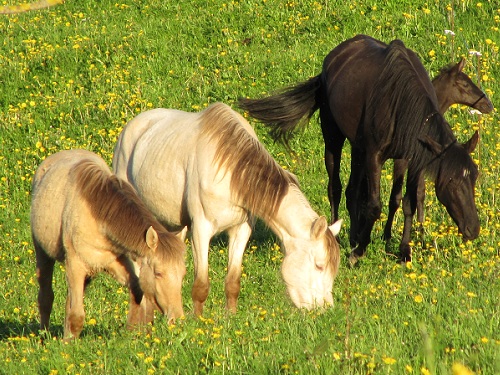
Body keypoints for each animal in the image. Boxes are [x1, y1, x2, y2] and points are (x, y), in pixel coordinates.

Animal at [30, 150, 186, 340]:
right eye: (158, 273)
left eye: (183, 273)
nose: (177, 318)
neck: (97, 212)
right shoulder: (75, 265)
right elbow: (76, 315)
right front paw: (68, 344)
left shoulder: (113, 263)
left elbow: (136, 289)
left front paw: (131, 333)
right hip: (43, 253)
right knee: (45, 296)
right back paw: (43, 336)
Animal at [112, 101, 342, 316]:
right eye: (319, 265)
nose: (325, 309)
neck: (231, 172)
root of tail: (132, 126)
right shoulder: (201, 230)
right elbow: (201, 284)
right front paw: (198, 320)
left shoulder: (241, 230)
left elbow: (233, 280)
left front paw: (230, 316)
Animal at [238, 35, 480, 264]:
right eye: (451, 181)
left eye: (473, 178)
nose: (473, 228)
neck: (401, 102)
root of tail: (333, 57)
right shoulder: (374, 156)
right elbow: (374, 205)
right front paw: (359, 251)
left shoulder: (405, 157)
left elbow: (406, 201)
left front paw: (404, 251)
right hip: (333, 138)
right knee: (335, 187)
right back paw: (336, 238)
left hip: (358, 148)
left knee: (353, 190)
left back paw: (354, 236)